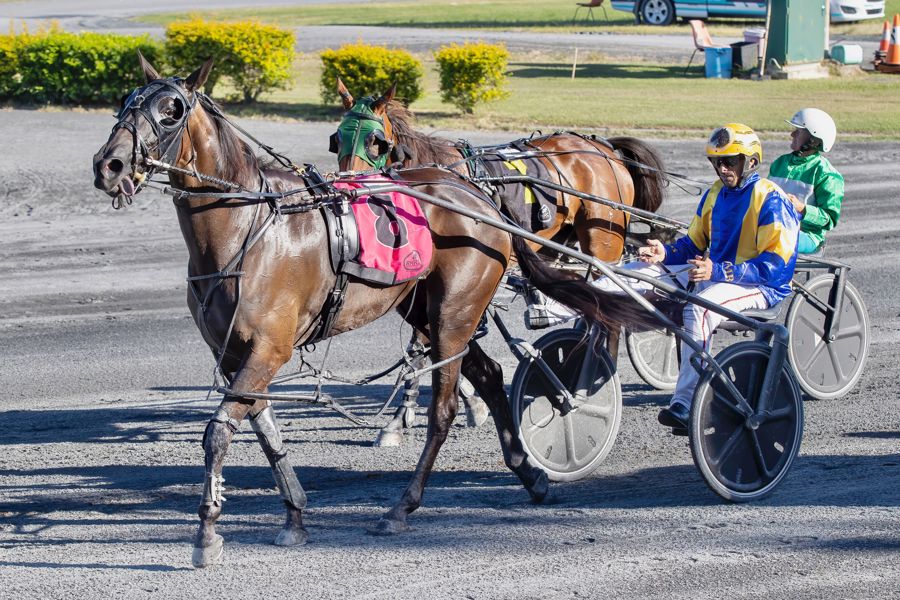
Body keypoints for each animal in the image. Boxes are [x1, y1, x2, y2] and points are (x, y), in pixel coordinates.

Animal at [92, 55, 652, 568]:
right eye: (123, 102)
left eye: (171, 110)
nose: (109, 165)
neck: (250, 228)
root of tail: (480, 199)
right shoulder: (233, 355)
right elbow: (263, 428)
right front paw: (294, 514)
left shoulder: (269, 349)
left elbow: (218, 431)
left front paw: (207, 533)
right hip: (426, 310)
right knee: (491, 376)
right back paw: (530, 474)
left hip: (462, 309)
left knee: (447, 408)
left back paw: (405, 505)